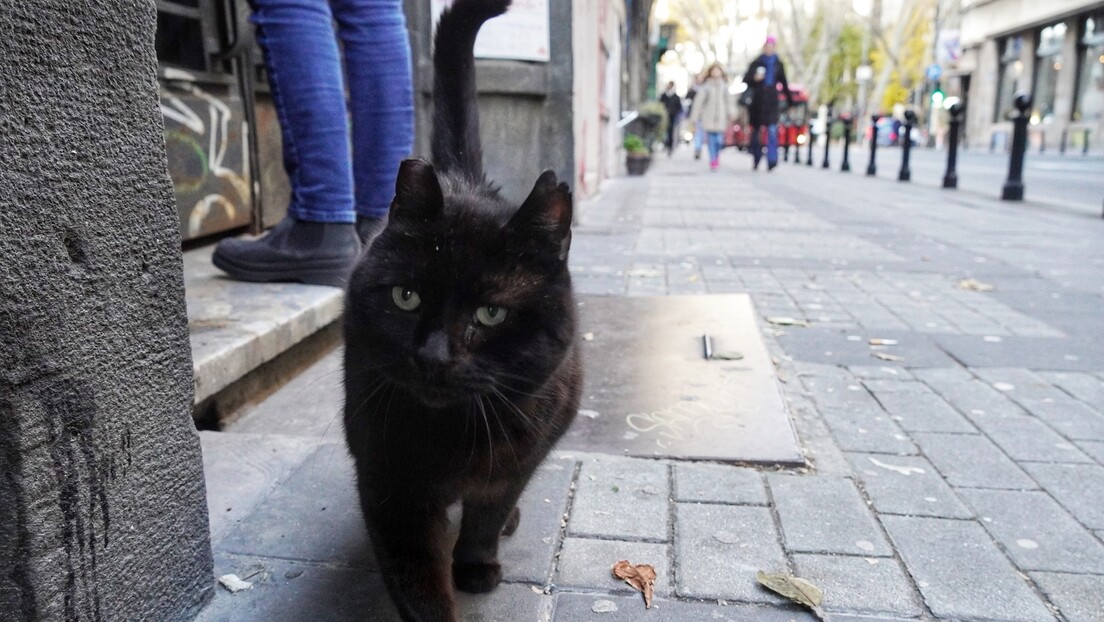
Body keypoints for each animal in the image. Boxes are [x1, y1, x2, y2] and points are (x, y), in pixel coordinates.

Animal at [340, 2, 582, 618]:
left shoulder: (521, 455)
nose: (434, 356)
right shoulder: (390, 488)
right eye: (406, 297)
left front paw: (476, 564)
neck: (454, 436)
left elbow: (487, 513)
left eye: (491, 315)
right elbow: (417, 582)